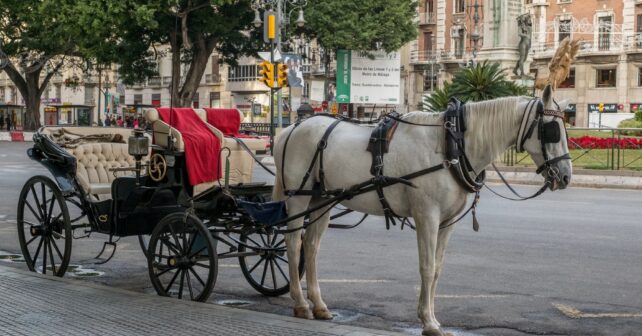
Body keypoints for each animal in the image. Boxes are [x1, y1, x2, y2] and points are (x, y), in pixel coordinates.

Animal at [270, 86, 568, 336]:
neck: (451, 145)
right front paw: (428, 322)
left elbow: (437, 269)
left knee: (311, 246)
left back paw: (319, 304)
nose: (565, 176)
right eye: (552, 129)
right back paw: (301, 303)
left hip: (322, 199)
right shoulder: (427, 216)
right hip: (298, 198)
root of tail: (291, 129)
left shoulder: (447, 222)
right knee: (293, 242)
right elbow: (426, 266)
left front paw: (432, 318)